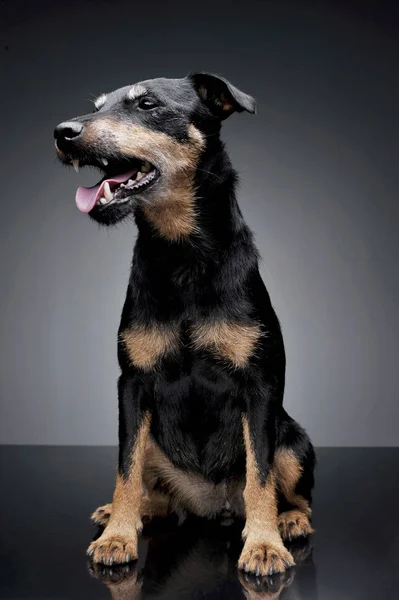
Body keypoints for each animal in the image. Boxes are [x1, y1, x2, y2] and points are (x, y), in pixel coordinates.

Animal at [54, 72, 316, 580]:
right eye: (97, 106)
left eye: (147, 105)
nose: (62, 133)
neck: (183, 253)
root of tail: (214, 505)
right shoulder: (132, 385)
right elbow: (125, 469)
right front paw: (117, 535)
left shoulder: (260, 384)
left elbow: (260, 474)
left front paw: (264, 544)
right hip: (153, 437)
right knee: (152, 488)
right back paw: (127, 513)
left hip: (294, 439)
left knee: (292, 493)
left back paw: (288, 520)